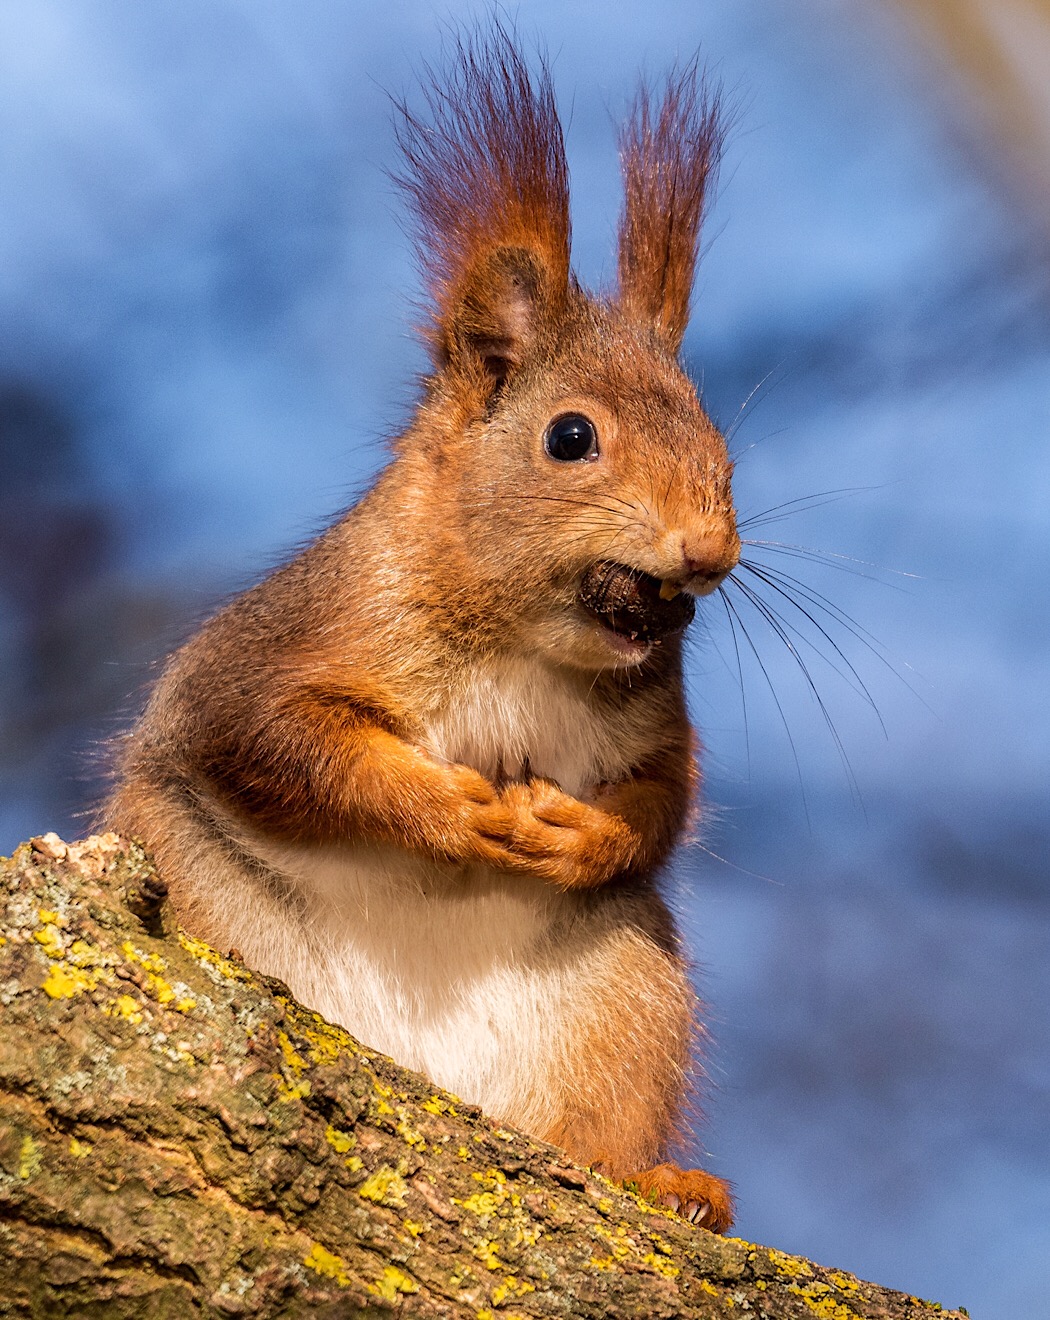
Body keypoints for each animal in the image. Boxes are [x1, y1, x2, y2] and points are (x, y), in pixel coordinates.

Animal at [105, 31, 739, 1230]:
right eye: (570, 437)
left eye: (724, 446)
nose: (709, 552)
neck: (524, 644)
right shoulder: (283, 645)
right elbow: (272, 737)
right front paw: (446, 808)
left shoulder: (658, 713)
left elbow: (664, 803)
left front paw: (582, 835)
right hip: (200, 889)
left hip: (622, 990)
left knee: (591, 1131)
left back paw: (664, 1182)